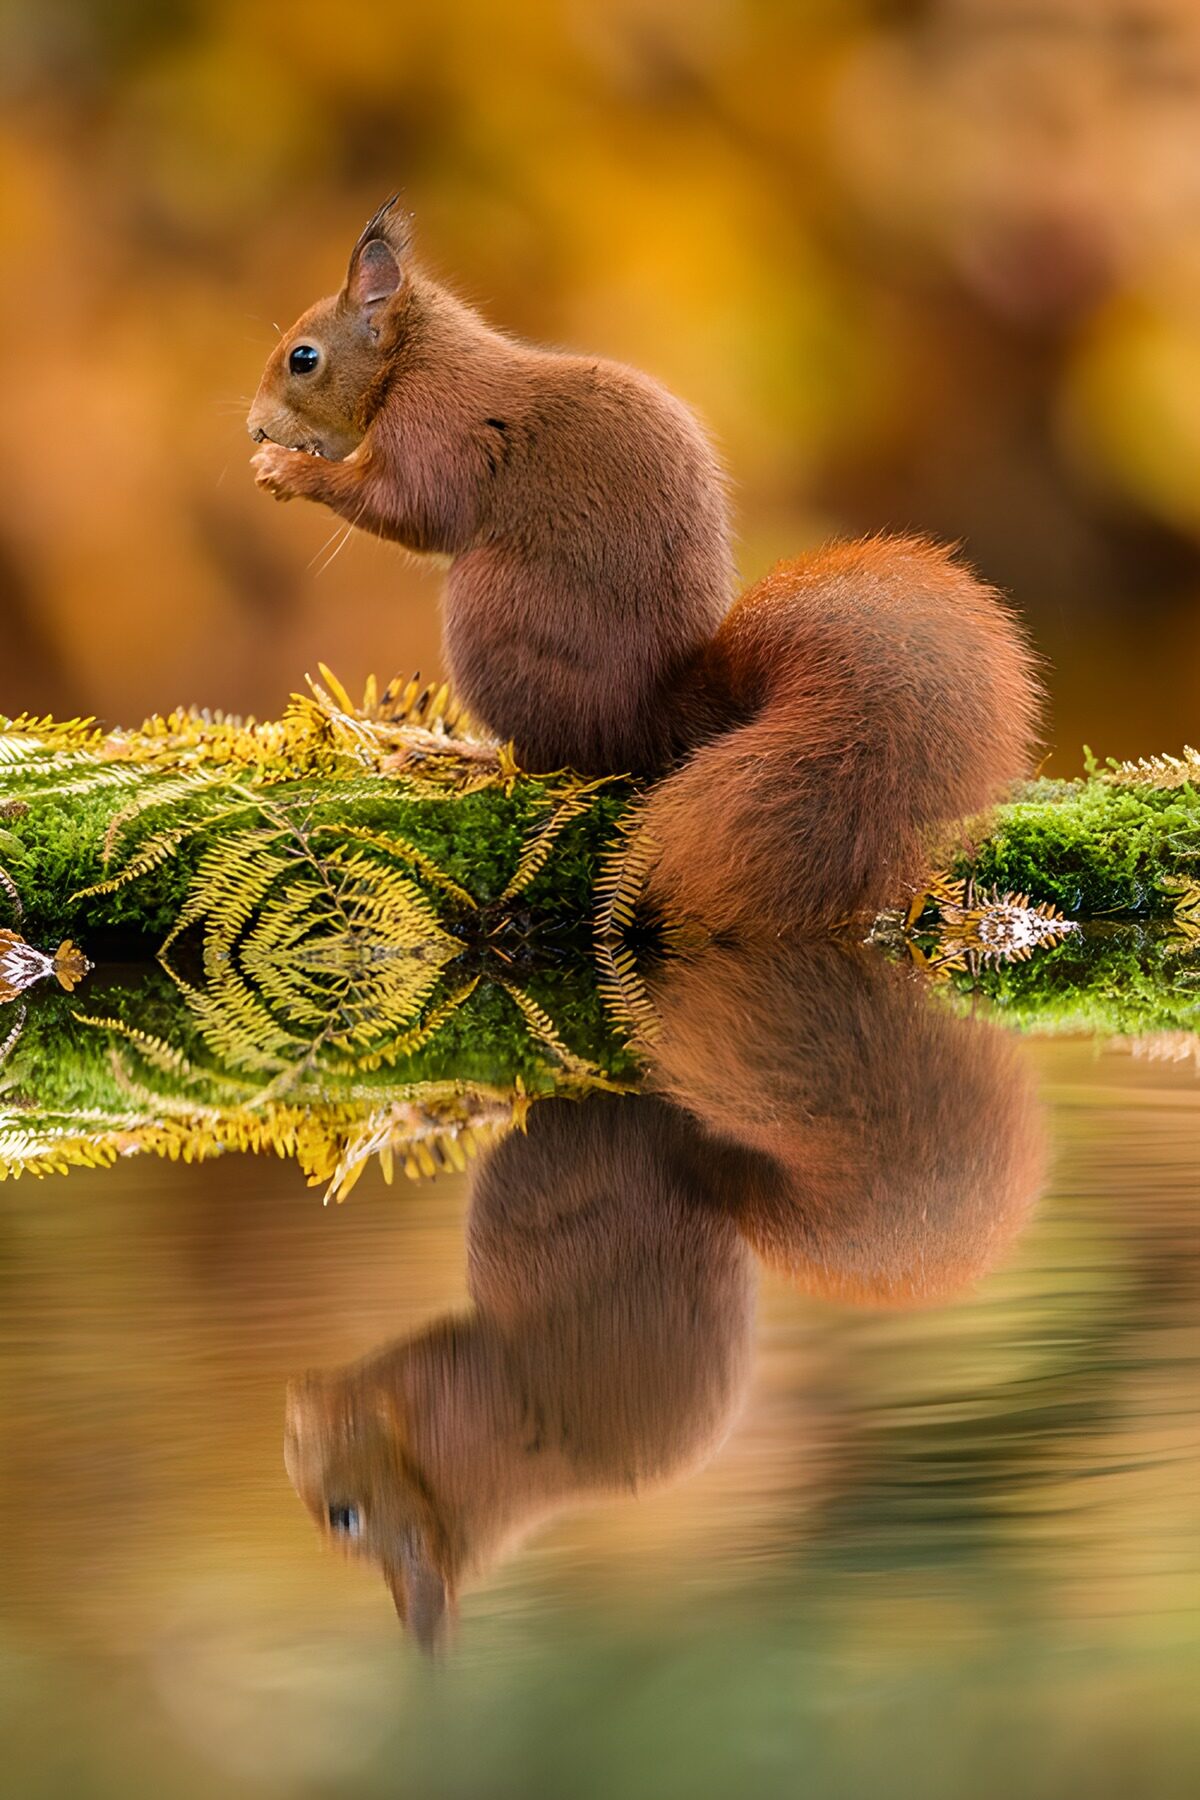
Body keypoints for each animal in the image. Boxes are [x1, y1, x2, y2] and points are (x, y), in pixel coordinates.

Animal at [249, 198, 1041, 932]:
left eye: (303, 358)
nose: (255, 428)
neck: (415, 356)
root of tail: (654, 716)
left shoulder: (438, 427)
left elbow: (412, 510)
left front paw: (289, 472)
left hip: (489, 611)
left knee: (556, 758)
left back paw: (455, 755)